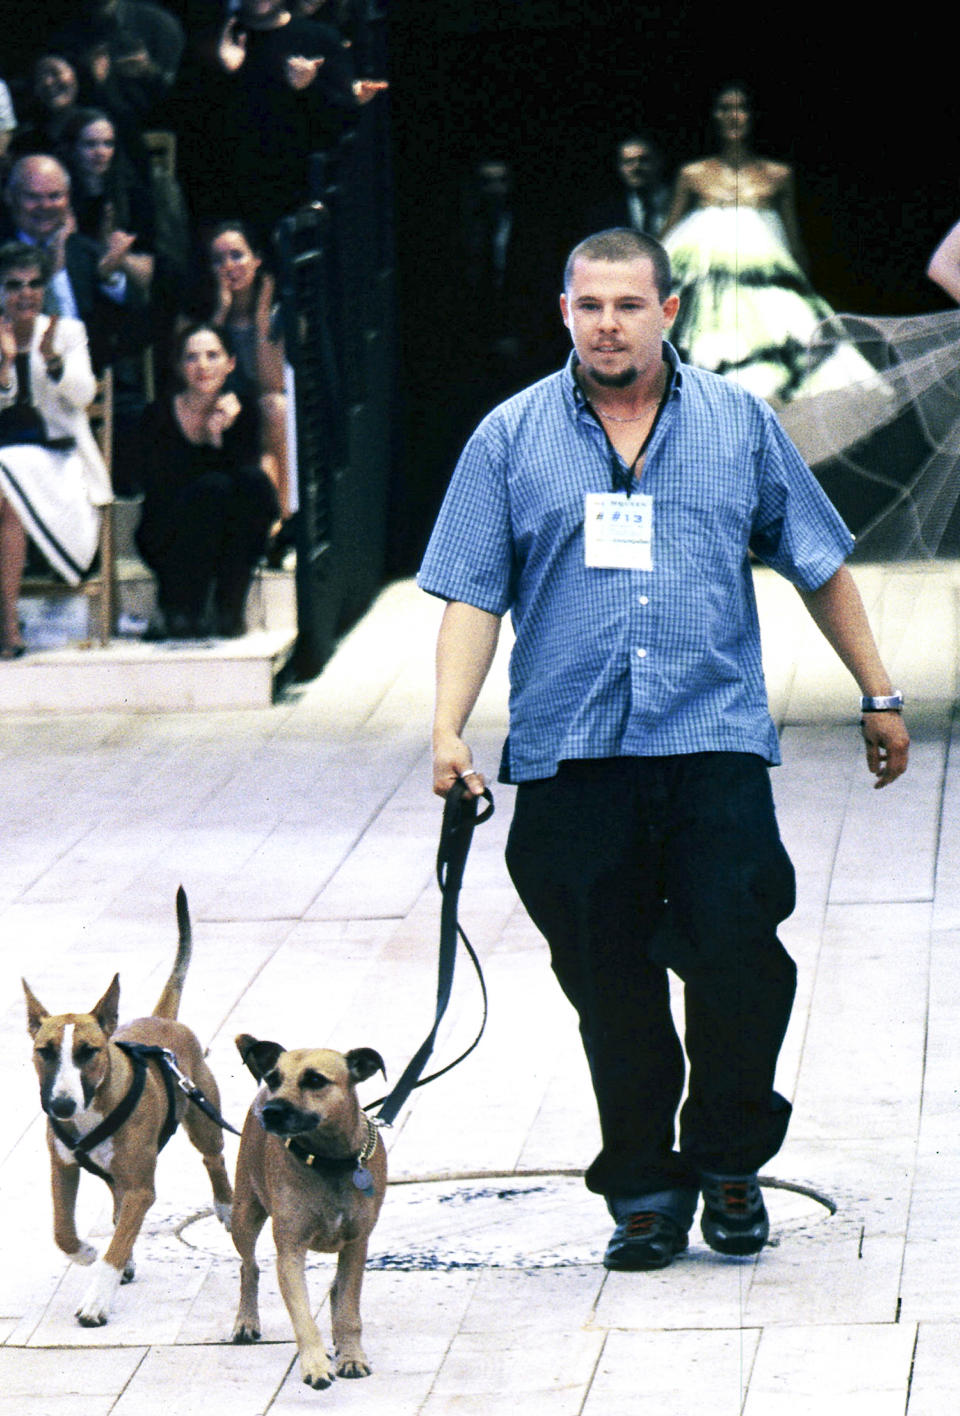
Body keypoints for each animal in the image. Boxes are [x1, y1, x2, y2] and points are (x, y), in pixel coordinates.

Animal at [22, 883, 233, 1325]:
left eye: (88, 1051)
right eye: (43, 1051)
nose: (61, 1106)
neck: (91, 1109)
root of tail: (164, 1020)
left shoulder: (141, 1188)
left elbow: (117, 1244)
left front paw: (97, 1301)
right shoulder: (62, 1168)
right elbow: (62, 1229)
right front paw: (85, 1252)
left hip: (202, 1115)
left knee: (213, 1156)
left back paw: (224, 1205)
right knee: (118, 1211)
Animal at [230, 1036, 385, 1387]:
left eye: (315, 1080)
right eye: (274, 1078)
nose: (271, 1111)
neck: (327, 1162)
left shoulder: (357, 1244)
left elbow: (349, 1309)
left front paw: (351, 1357)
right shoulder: (290, 1251)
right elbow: (303, 1318)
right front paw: (315, 1365)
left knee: (338, 1290)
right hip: (244, 1214)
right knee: (249, 1267)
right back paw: (246, 1321)